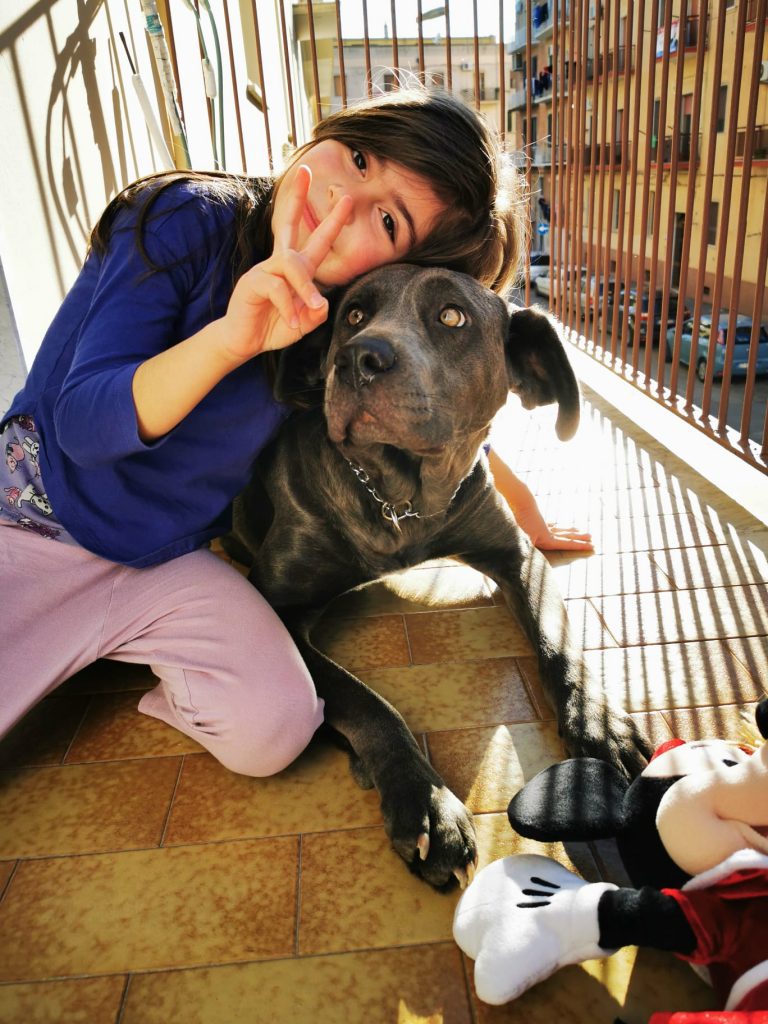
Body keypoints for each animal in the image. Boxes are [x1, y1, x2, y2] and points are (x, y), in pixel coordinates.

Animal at [225, 264, 651, 888]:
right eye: (354, 313)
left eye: (452, 316)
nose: (358, 358)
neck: (399, 501)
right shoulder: (273, 604)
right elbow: (364, 699)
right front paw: (423, 800)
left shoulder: (517, 557)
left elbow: (559, 644)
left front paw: (601, 725)